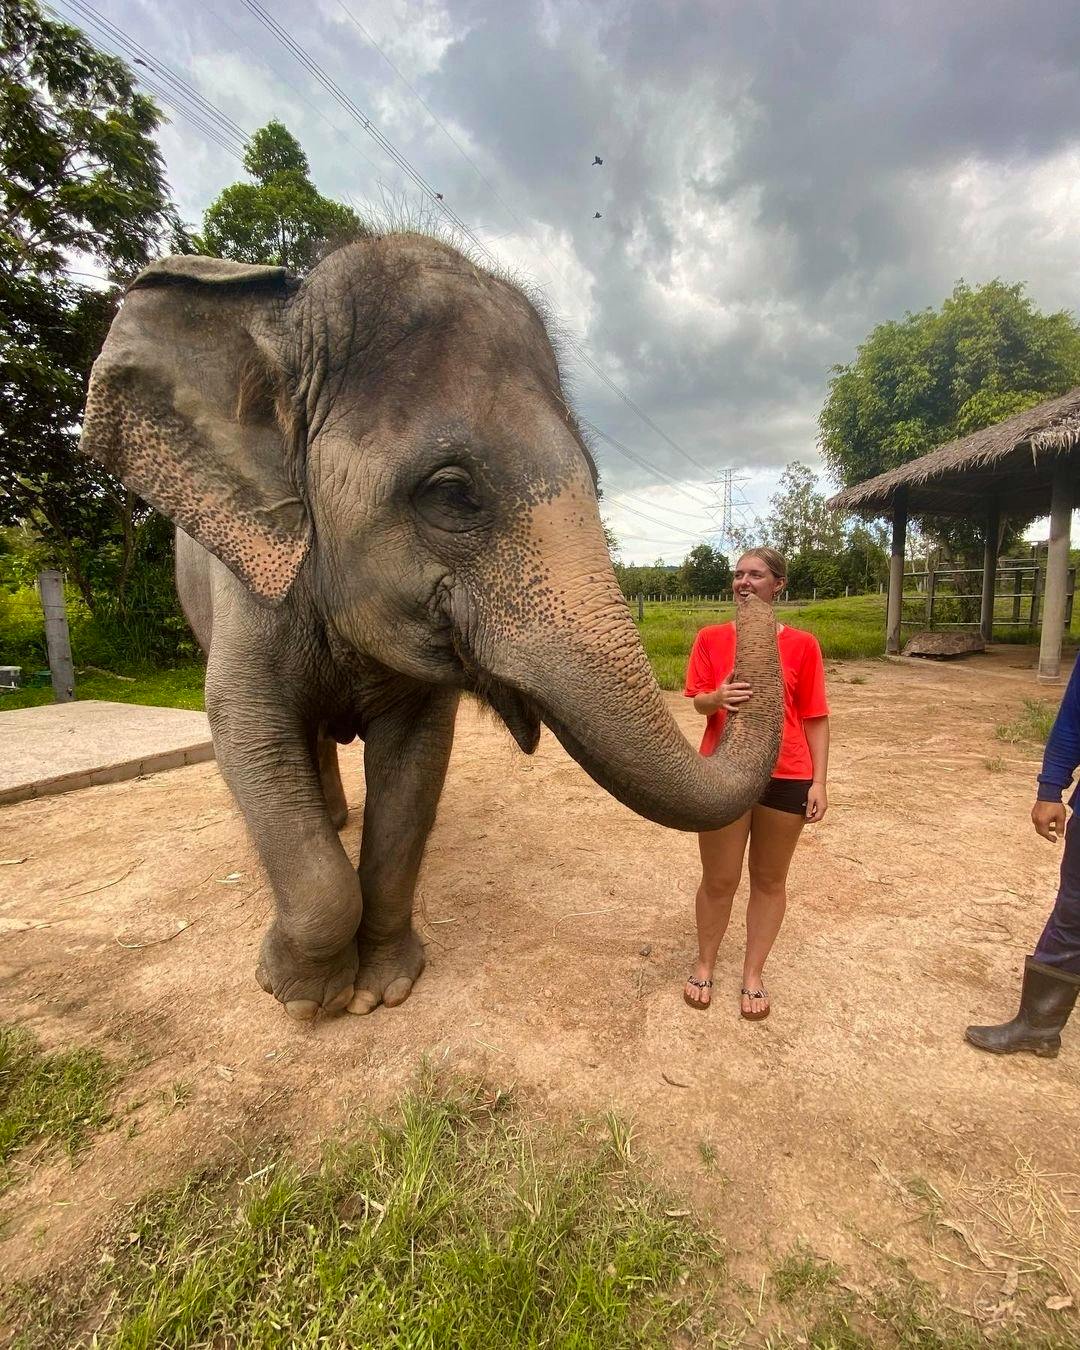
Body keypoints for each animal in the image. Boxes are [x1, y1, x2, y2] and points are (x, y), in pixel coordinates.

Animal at [77, 237, 783, 1020]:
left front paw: (381, 991)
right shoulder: (252, 586)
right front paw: (301, 999)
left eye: (598, 485)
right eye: (451, 493)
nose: (751, 579)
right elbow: (246, 727)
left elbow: (415, 768)